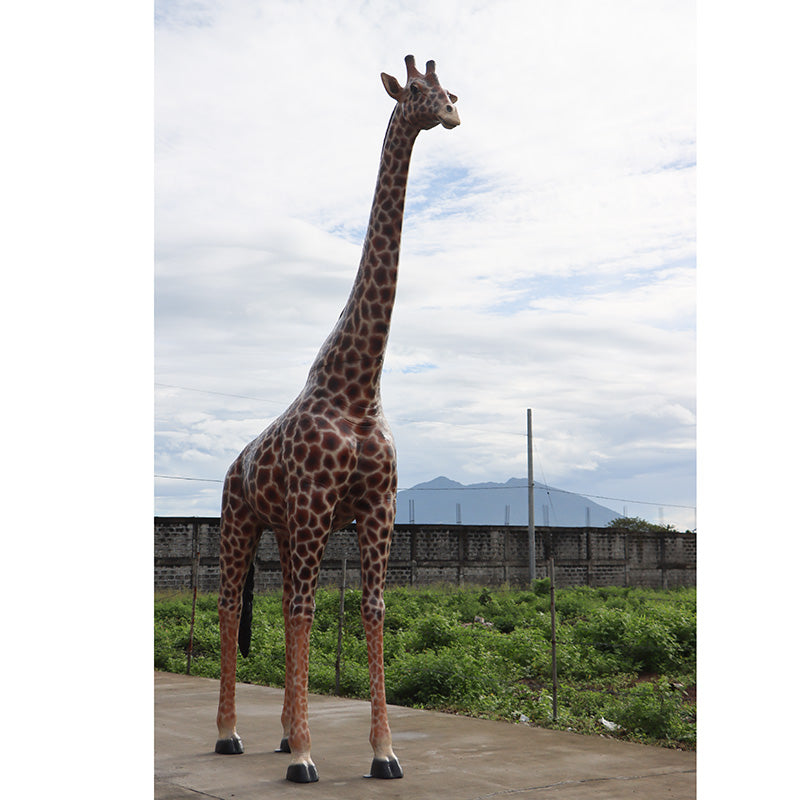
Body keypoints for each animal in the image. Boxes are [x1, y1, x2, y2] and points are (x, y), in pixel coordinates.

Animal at [214, 55, 460, 783]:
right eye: (417, 91)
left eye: (445, 86)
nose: (453, 110)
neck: (359, 384)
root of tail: (233, 466)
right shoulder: (319, 506)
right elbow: (303, 612)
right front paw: (305, 759)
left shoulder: (375, 508)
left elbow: (370, 610)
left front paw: (383, 753)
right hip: (240, 522)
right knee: (230, 605)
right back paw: (232, 734)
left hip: (286, 526)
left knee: (281, 605)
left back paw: (280, 733)